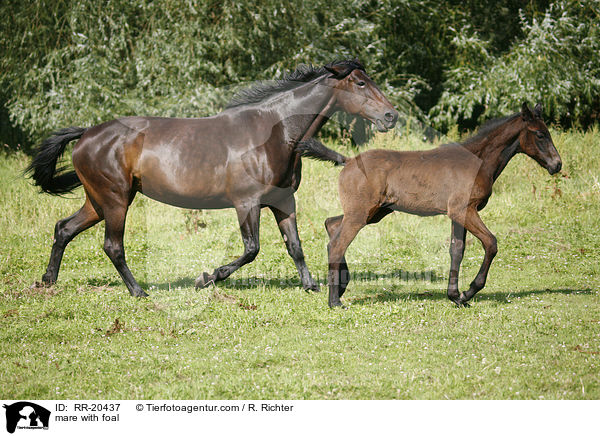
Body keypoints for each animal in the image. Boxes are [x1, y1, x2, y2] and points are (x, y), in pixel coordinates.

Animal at [324, 102, 564, 306]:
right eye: (540, 134)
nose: (557, 164)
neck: (477, 161)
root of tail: (348, 162)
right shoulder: (464, 210)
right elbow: (491, 243)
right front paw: (469, 292)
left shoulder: (459, 214)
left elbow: (457, 249)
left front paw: (455, 296)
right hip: (362, 213)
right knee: (337, 244)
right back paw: (334, 300)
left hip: (374, 213)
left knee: (332, 226)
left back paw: (340, 287)